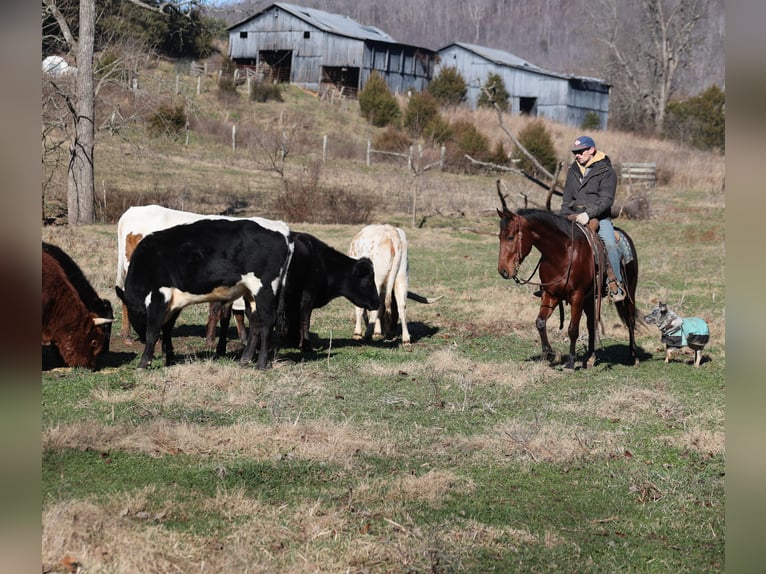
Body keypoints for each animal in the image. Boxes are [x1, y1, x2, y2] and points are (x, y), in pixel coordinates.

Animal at [496, 190, 640, 369]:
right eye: (499, 236)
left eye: (510, 237)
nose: (503, 270)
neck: (562, 253)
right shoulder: (550, 294)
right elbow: (540, 322)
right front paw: (550, 355)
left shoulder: (576, 296)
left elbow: (572, 329)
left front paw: (570, 362)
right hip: (590, 298)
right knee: (592, 323)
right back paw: (590, 357)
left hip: (629, 292)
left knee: (630, 319)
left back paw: (634, 356)